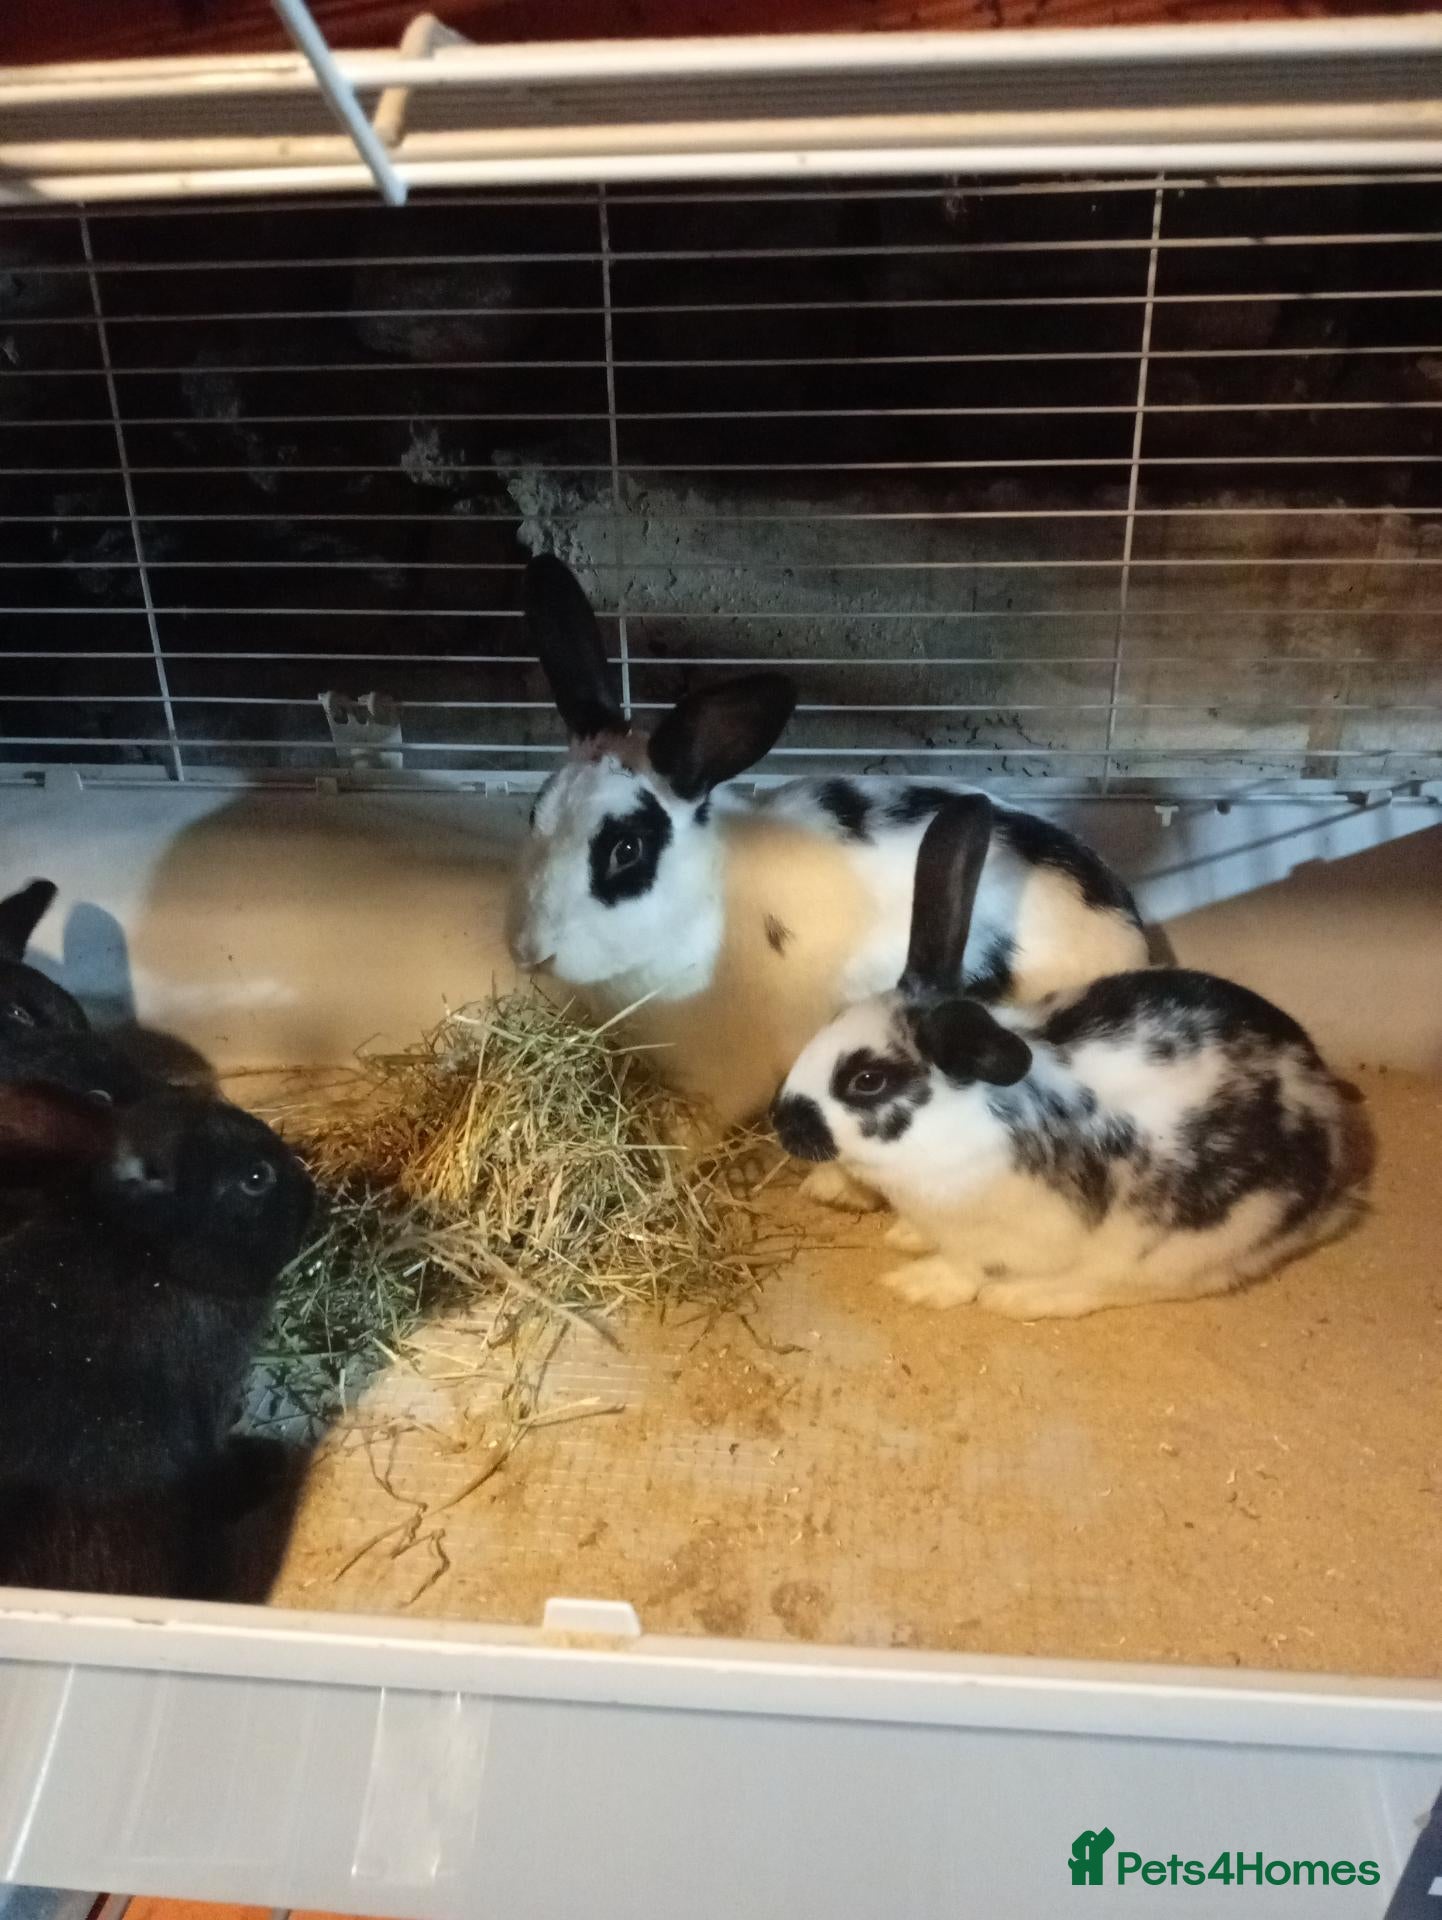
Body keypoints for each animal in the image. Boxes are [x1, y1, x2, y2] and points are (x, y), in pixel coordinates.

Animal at [507, 555, 1149, 1202]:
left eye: (626, 849)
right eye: (534, 813)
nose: (528, 953)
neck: (705, 900)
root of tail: (1135, 939)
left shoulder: (721, 1076)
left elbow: (690, 1130)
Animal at [772, 796, 1368, 1319]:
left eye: (867, 1080)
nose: (782, 1121)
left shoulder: (1008, 1234)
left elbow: (967, 1267)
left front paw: (918, 1284)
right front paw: (905, 1235)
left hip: (1169, 1243)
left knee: (1114, 1286)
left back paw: (1021, 1300)